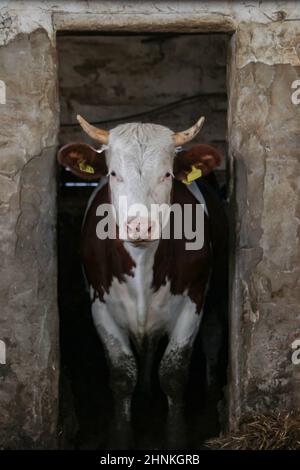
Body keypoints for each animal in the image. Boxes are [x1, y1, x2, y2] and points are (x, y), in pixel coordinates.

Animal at [58, 115, 227, 450]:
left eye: (167, 174)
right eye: (113, 173)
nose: (139, 226)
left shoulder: (192, 302)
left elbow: (173, 375)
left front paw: (175, 437)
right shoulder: (101, 307)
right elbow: (123, 375)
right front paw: (122, 437)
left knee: (213, 337)